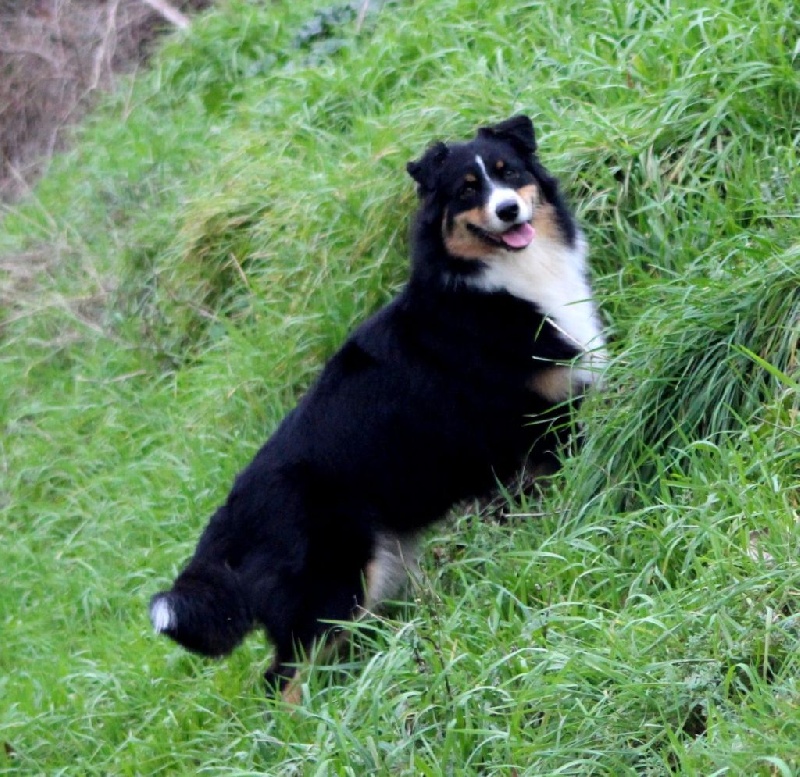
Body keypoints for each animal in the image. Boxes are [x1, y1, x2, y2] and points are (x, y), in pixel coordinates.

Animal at [149, 114, 606, 701]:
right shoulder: (535, 428)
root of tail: (230, 515)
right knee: (282, 681)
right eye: (466, 190)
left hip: (375, 574)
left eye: (509, 172)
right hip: (334, 585)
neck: (500, 282)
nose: (508, 210)